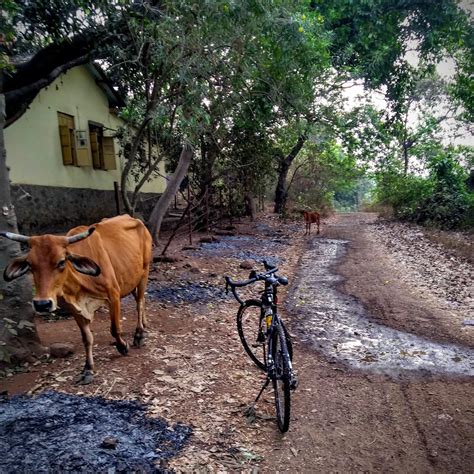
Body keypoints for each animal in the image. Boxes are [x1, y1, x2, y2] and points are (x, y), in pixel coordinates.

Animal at [0, 215, 152, 386]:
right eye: (30, 264)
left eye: (61, 262)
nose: (42, 304)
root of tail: (133, 218)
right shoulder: (73, 308)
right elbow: (86, 338)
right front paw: (88, 369)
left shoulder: (113, 294)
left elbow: (114, 329)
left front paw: (123, 347)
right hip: (131, 278)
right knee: (140, 299)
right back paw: (145, 323)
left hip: (144, 272)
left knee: (140, 302)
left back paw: (139, 334)